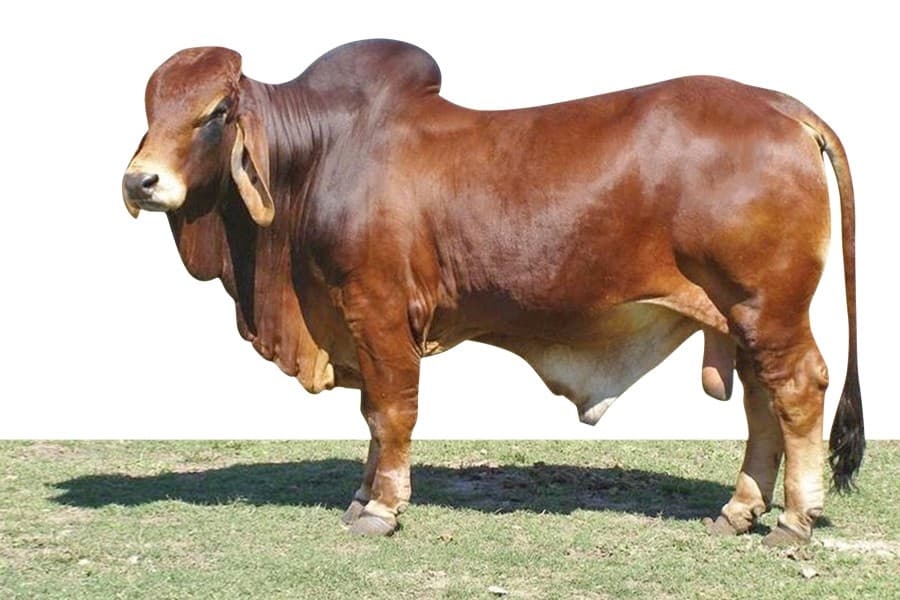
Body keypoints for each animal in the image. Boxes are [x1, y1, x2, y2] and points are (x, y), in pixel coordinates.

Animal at [122, 39, 863, 543]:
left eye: (217, 111)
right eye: (151, 107)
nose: (141, 181)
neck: (317, 156)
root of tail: (780, 106)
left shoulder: (378, 311)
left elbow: (390, 412)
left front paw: (383, 507)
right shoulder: (356, 324)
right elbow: (371, 413)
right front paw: (364, 496)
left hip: (767, 306)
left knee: (798, 389)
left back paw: (795, 519)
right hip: (740, 315)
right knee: (763, 403)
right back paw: (738, 511)